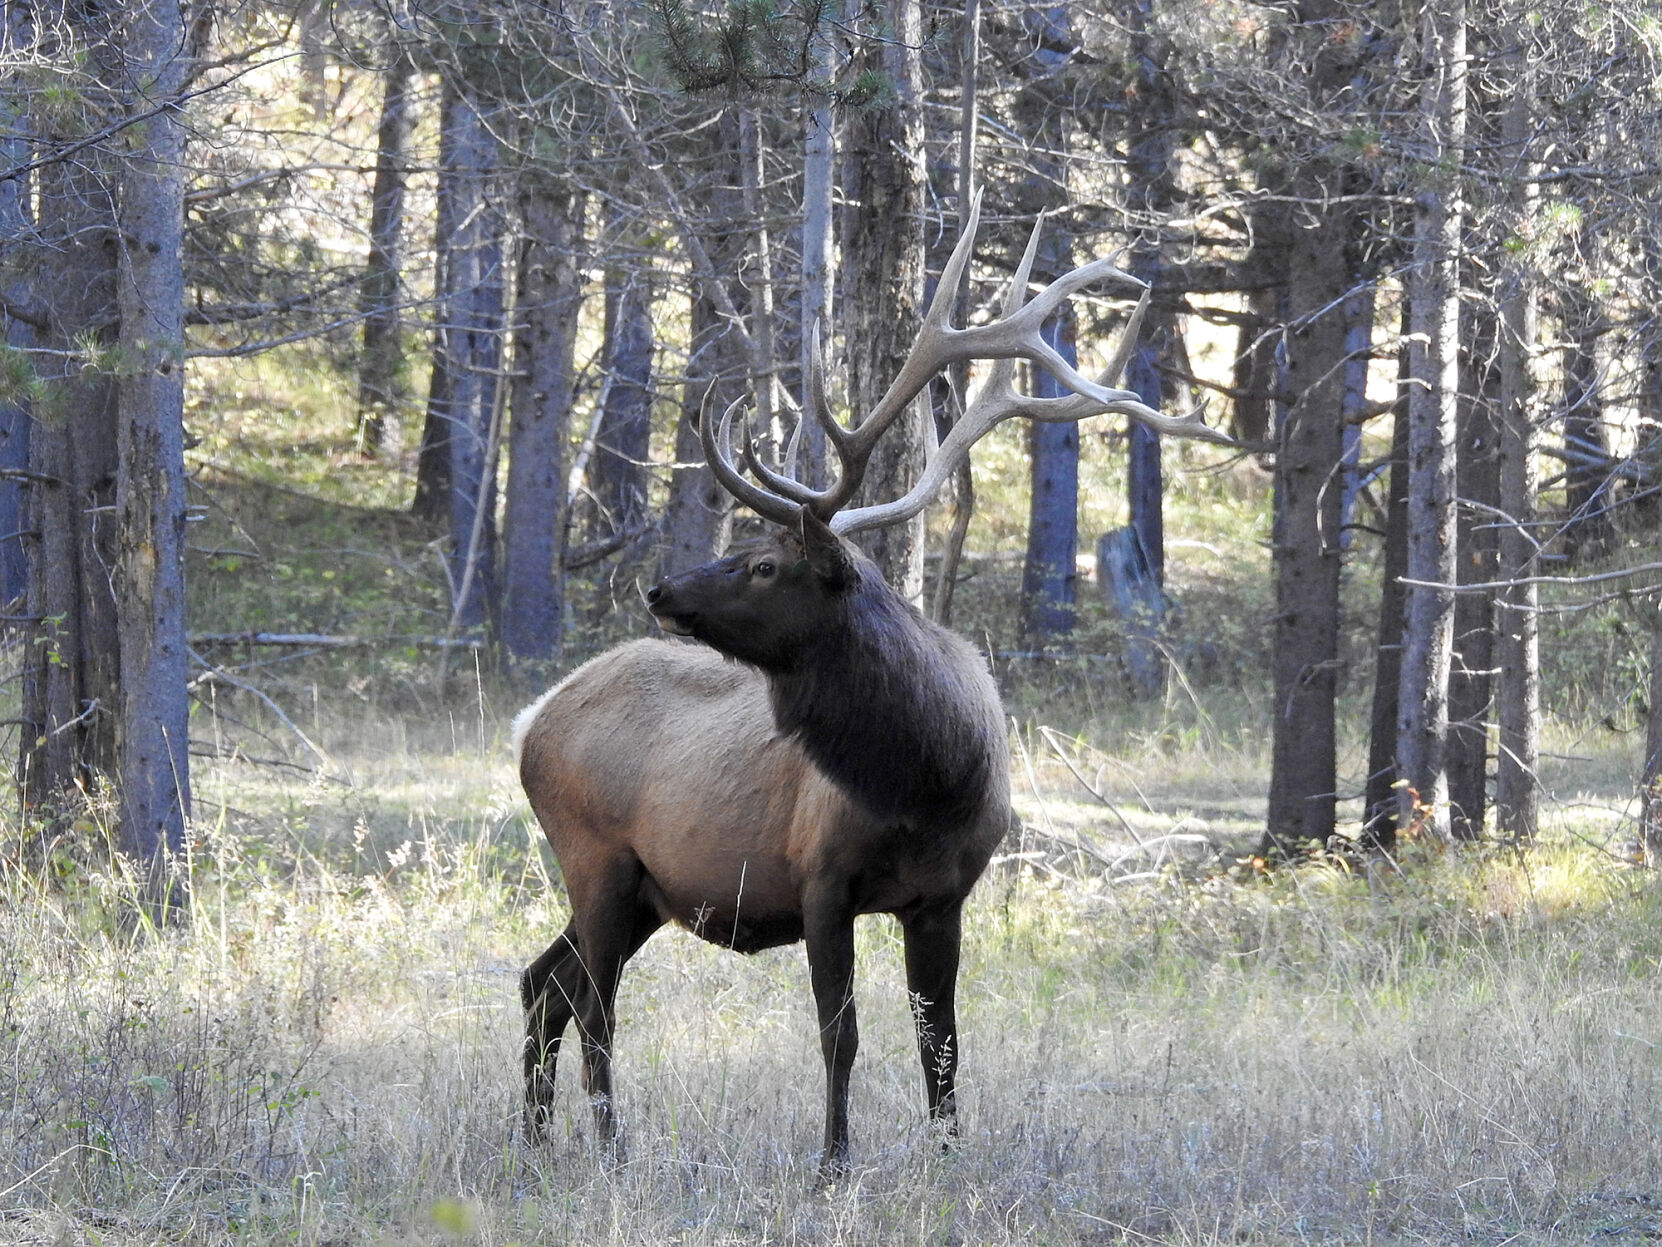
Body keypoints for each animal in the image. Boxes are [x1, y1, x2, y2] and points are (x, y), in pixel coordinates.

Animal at [505, 195, 1223, 1183]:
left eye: (764, 563)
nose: (660, 589)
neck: (930, 779)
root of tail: (528, 723)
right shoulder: (822, 879)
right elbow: (838, 1036)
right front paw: (833, 1164)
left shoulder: (944, 896)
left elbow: (942, 1041)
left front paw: (948, 1155)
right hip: (596, 855)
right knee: (593, 1004)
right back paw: (611, 1149)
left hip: (640, 887)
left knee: (547, 982)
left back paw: (539, 1143)